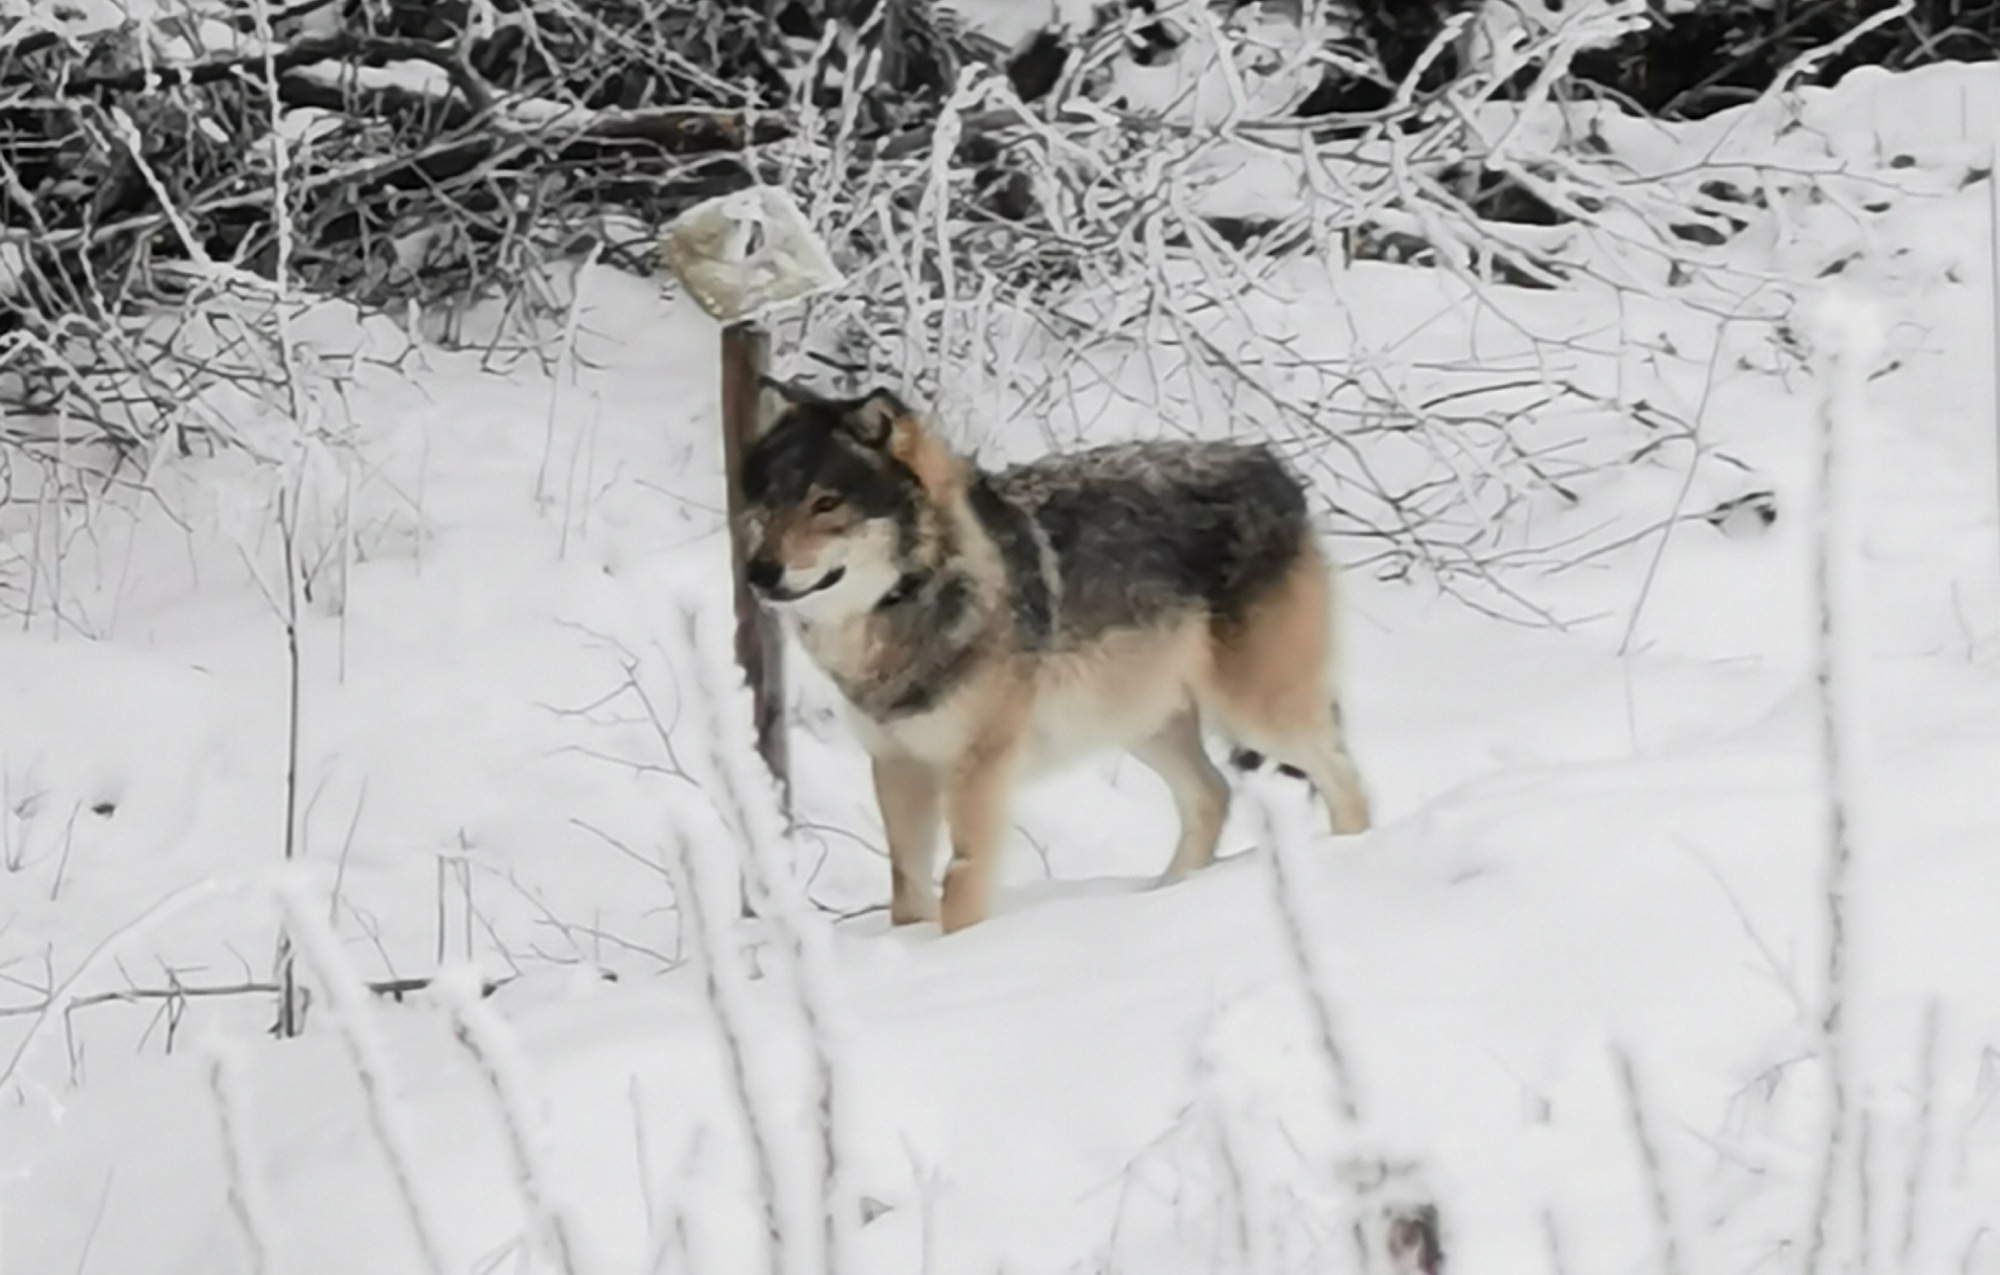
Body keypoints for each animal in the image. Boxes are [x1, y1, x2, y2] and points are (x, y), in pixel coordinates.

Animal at [738, 378, 1371, 934]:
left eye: (825, 504)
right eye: (768, 504)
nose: (758, 572)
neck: (914, 599)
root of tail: (1271, 466)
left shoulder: (978, 769)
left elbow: (961, 883)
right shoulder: (897, 765)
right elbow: (907, 887)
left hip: (1258, 715)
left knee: (1344, 778)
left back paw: (1354, 854)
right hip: (1143, 723)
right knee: (1213, 795)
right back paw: (1166, 895)